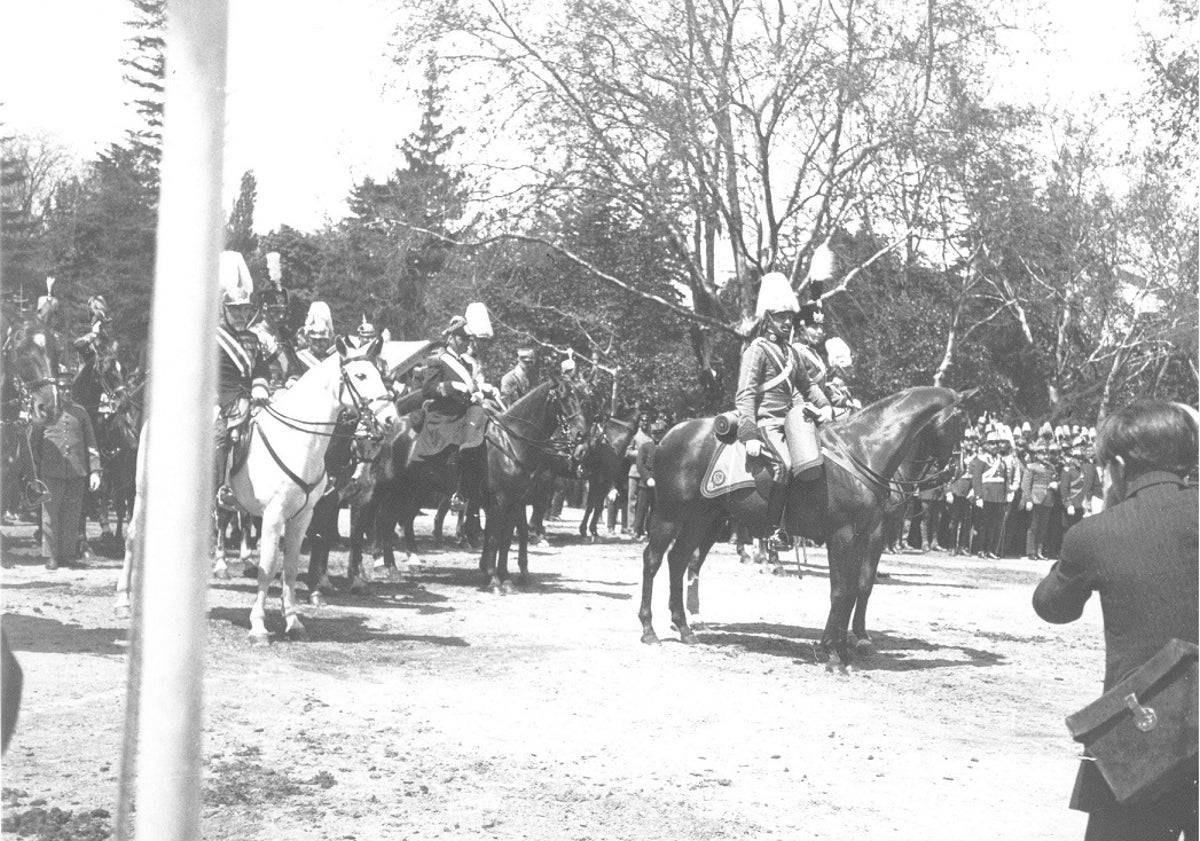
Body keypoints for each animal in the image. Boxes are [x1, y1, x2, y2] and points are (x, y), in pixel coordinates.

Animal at [117, 333, 400, 643]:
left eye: (382, 375)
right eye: (360, 375)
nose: (391, 420)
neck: (297, 440)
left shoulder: (303, 516)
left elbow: (290, 568)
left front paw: (293, 622)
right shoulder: (273, 516)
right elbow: (267, 568)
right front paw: (259, 627)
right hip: (143, 492)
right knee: (132, 536)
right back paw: (123, 600)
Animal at [638, 383, 964, 667]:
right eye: (960, 423)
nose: (956, 471)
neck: (862, 450)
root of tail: (671, 434)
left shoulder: (863, 535)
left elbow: (854, 587)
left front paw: (843, 646)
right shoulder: (847, 535)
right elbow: (843, 590)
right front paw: (836, 651)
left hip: (702, 518)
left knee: (678, 560)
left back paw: (684, 627)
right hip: (669, 514)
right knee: (653, 559)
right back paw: (649, 629)